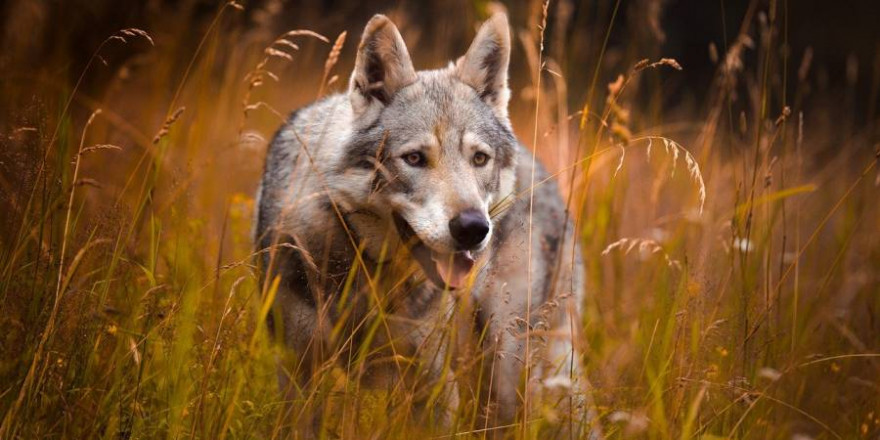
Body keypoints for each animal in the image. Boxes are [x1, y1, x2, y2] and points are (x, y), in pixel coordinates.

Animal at [254, 12, 600, 438]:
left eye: (479, 159)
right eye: (415, 158)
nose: (473, 228)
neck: (372, 277)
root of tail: (548, 176)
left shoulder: (433, 386)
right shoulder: (298, 374)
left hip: (508, 365)